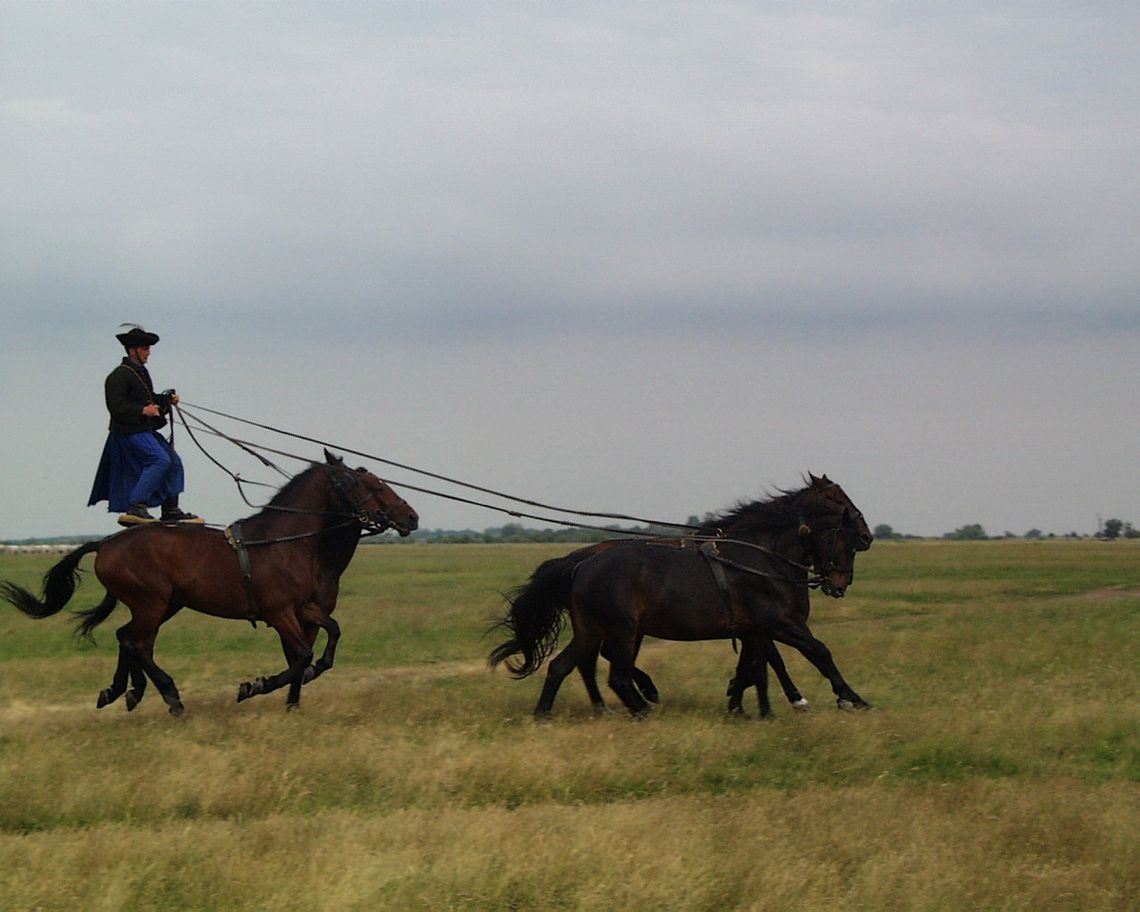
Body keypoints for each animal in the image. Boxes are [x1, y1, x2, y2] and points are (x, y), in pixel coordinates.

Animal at [0, 451, 419, 715]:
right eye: (368, 484)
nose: (411, 517)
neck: (286, 542)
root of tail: (105, 544)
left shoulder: (305, 609)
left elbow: (329, 637)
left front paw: (293, 700)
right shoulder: (280, 612)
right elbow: (301, 656)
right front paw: (254, 686)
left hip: (165, 605)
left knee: (128, 638)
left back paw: (123, 691)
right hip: (152, 603)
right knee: (137, 643)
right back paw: (170, 698)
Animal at [490, 474, 870, 715]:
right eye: (841, 504)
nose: (867, 535)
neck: (761, 557)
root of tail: (580, 565)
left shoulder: (755, 630)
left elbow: (758, 664)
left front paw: (743, 703)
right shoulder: (780, 624)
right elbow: (817, 652)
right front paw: (850, 698)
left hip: (593, 630)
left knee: (564, 666)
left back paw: (550, 714)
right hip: (622, 631)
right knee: (615, 674)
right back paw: (642, 707)